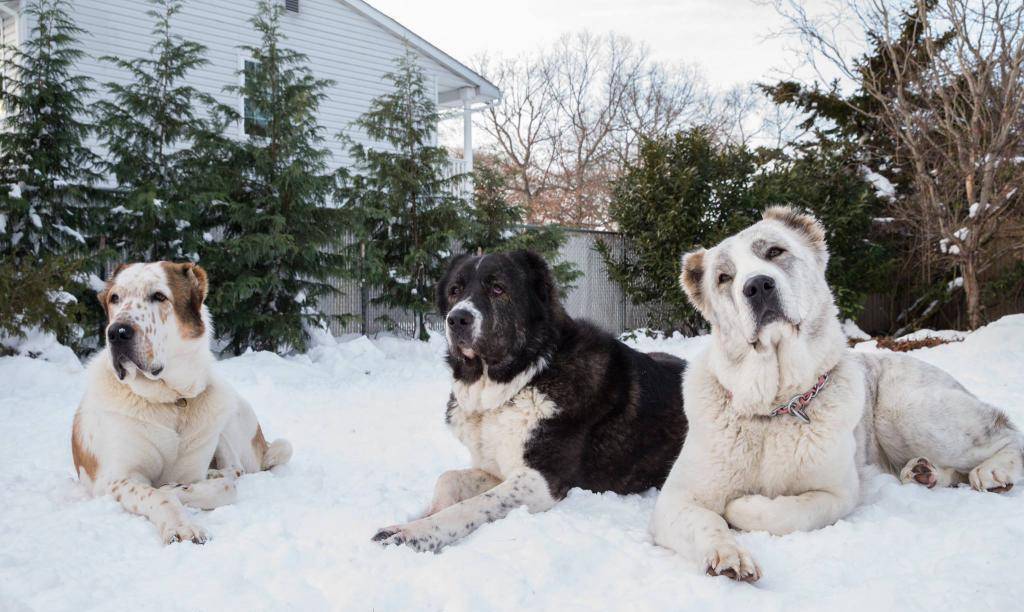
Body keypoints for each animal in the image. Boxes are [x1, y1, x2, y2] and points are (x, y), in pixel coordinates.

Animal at [72, 264, 292, 548]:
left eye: (159, 296)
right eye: (115, 298)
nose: (117, 332)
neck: (170, 401)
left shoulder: (193, 471)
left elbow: (224, 488)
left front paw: (179, 487)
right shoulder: (115, 480)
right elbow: (157, 495)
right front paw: (181, 525)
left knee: (237, 469)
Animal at [370, 251, 688, 552]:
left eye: (498, 288)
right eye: (454, 291)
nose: (457, 318)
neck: (520, 381)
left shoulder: (542, 481)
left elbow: (470, 506)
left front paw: (413, 535)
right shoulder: (498, 469)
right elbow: (447, 478)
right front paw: (419, 518)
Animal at [651, 207, 1019, 585]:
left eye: (774, 252)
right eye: (724, 277)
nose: (757, 286)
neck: (777, 408)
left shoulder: (836, 494)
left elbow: (785, 512)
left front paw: (741, 507)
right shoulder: (676, 500)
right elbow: (704, 522)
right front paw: (727, 555)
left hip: (910, 412)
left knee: (1006, 435)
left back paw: (993, 473)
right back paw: (923, 473)